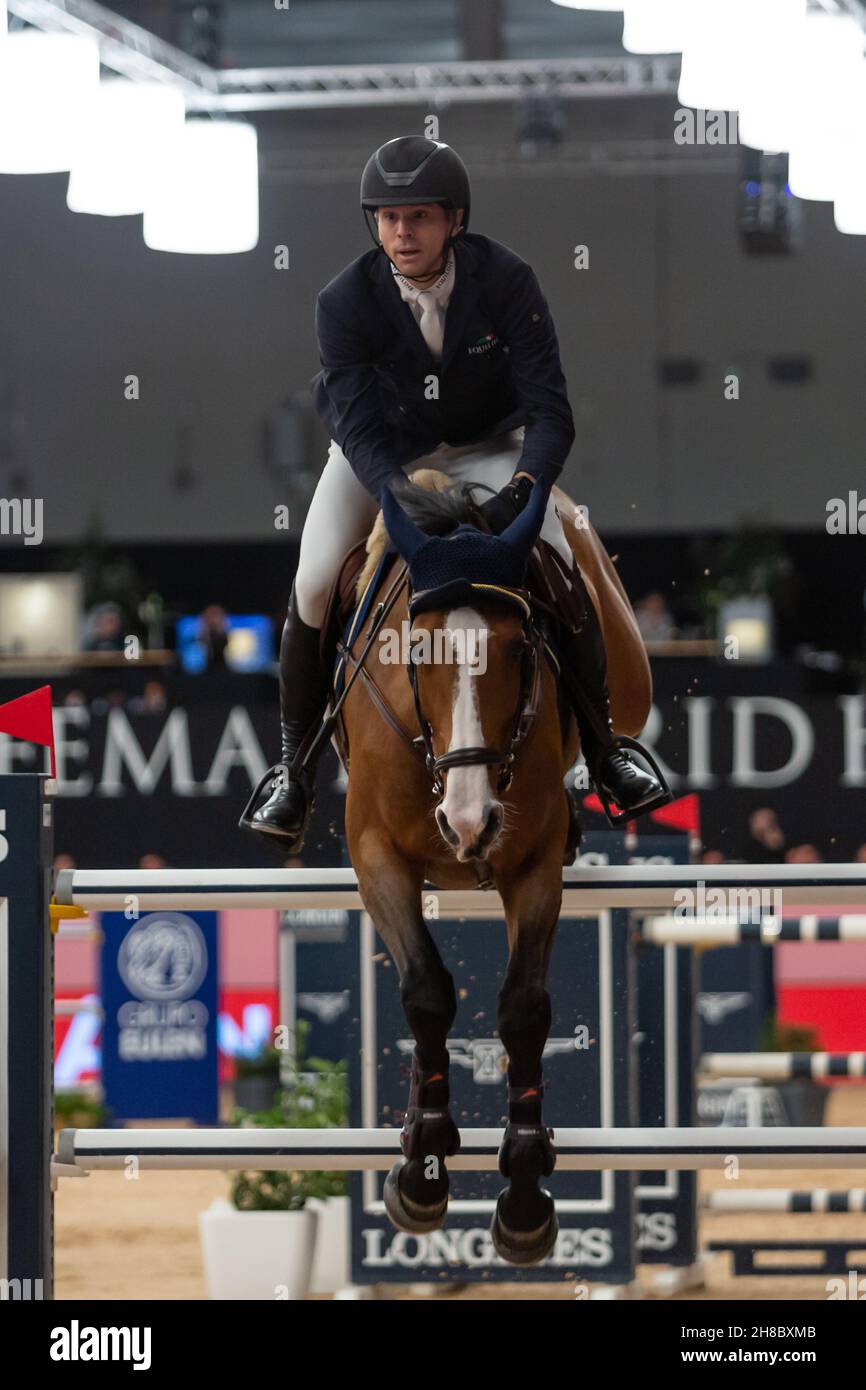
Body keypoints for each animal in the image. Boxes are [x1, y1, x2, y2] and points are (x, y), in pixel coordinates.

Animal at [332, 472, 650, 1267]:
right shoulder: (377, 859)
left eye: (515, 650)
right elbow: (426, 994)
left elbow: (523, 1010)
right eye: (419, 649)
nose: (470, 821)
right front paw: (423, 1167)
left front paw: (527, 1195)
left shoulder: (531, 868)